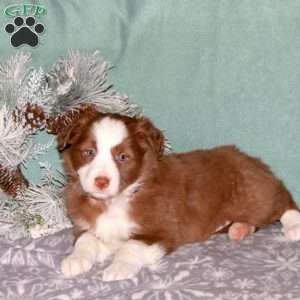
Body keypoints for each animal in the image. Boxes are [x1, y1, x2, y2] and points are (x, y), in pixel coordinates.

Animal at [59, 110, 300, 282]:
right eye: (89, 152)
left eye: (123, 157)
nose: (101, 181)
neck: (114, 201)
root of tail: (253, 160)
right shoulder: (92, 227)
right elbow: (86, 239)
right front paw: (74, 259)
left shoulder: (161, 230)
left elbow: (131, 246)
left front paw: (118, 267)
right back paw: (239, 228)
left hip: (253, 193)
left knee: (282, 201)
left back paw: (293, 226)